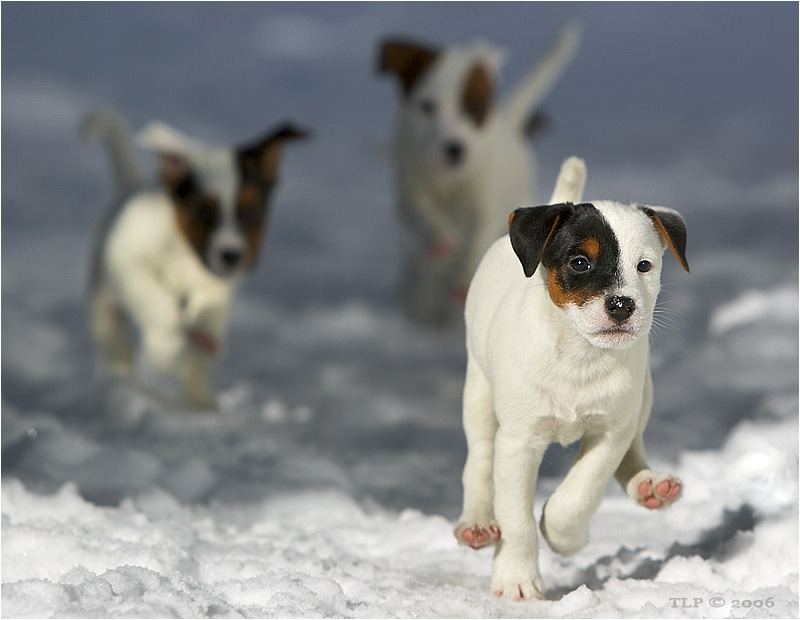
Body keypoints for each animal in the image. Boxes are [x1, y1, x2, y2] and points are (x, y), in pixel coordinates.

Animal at [86, 110, 308, 412]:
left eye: (253, 212)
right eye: (203, 210)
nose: (231, 256)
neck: (185, 255)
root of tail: (131, 186)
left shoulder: (216, 286)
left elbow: (206, 315)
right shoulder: (127, 261)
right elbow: (157, 303)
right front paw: (165, 347)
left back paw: (203, 403)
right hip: (104, 303)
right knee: (115, 341)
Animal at [378, 23, 580, 330]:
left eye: (476, 107)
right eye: (427, 106)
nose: (454, 149)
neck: (453, 179)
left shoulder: (485, 204)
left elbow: (474, 240)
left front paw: (462, 282)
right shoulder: (411, 185)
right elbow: (422, 212)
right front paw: (441, 239)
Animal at [454, 157, 692, 600]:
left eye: (644, 266)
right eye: (580, 262)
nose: (622, 304)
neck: (580, 356)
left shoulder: (610, 432)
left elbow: (580, 493)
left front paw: (564, 536)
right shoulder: (518, 442)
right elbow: (516, 519)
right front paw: (516, 578)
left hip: (643, 396)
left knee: (634, 447)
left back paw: (649, 486)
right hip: (478, 392)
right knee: (478, 458)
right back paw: (476, 521)